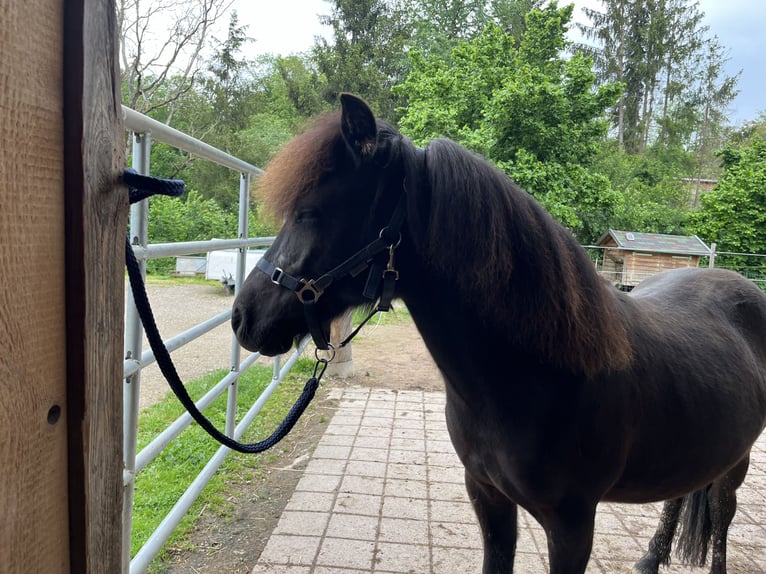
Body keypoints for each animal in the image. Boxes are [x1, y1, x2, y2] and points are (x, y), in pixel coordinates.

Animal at [234, 95, 766, 574]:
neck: (537, 375)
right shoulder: (488, 498)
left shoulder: (572, 528)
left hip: (735, 462)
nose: (243, 316)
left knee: (722, 517)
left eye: (309, 212)